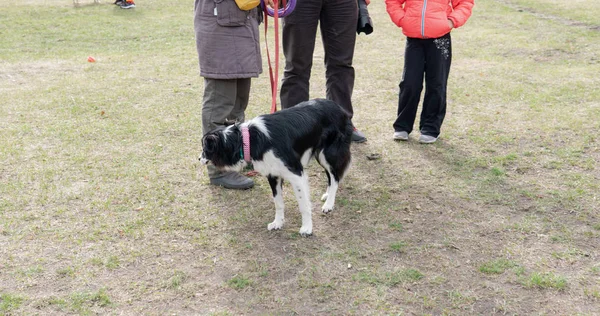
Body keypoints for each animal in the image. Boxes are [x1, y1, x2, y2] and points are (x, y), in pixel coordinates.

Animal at [199, 100, 354, 236]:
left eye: (205, 149)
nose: (199, 159)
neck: (248, 139)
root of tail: (339, 107)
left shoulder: (296, 174)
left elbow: (303, 204)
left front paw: (307, 228)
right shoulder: (273, 175)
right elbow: (278, 202)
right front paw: (278, 223)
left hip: (328, 153)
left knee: (335, 177)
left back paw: (329, 204)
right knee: (331, 176)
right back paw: (327, 195)